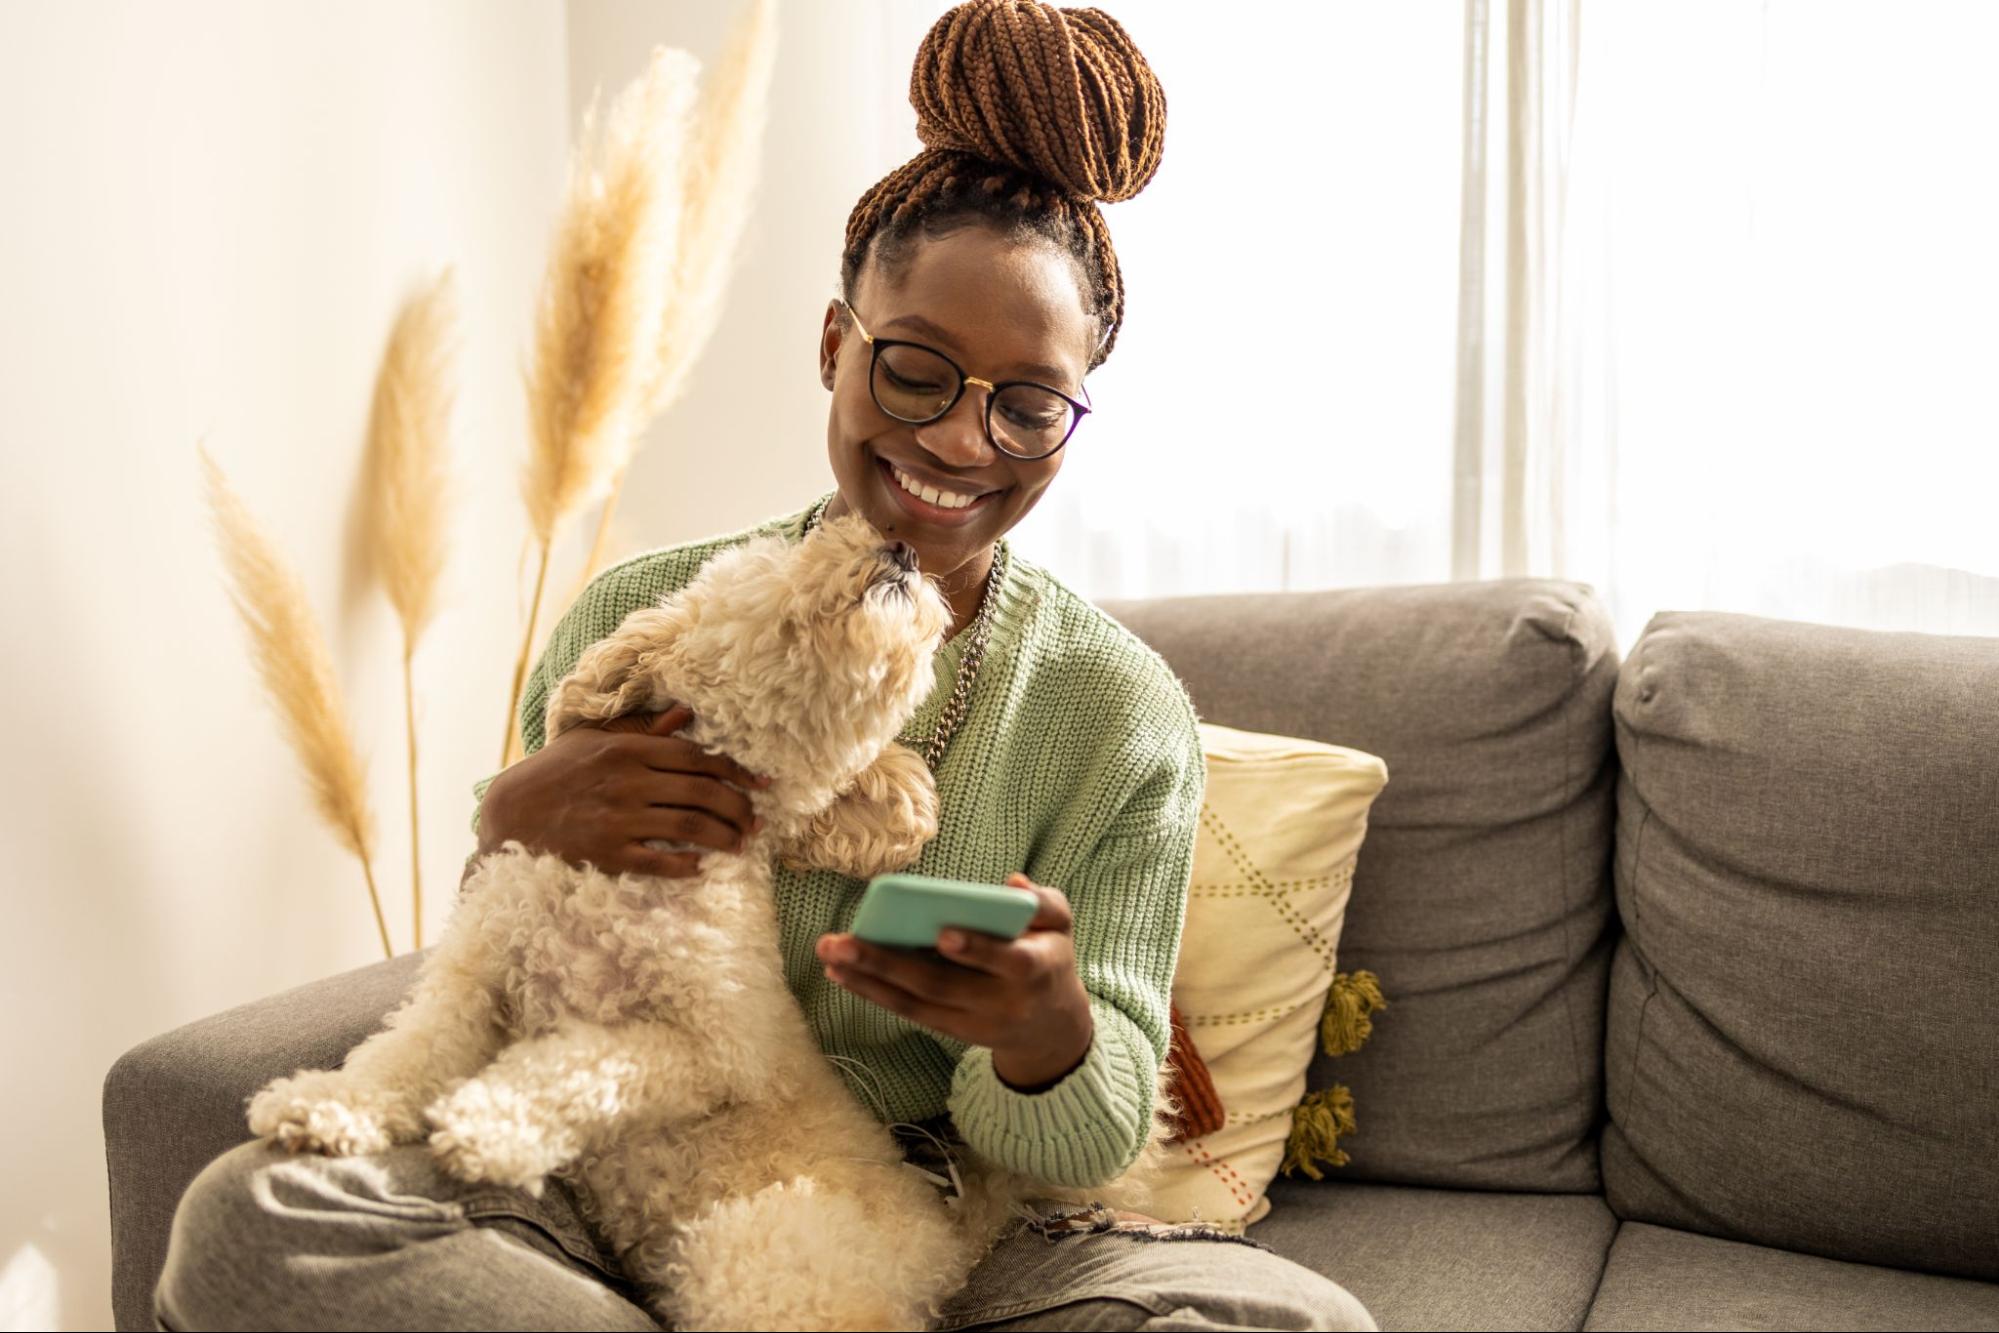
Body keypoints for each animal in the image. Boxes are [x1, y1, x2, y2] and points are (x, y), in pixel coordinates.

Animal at [251, 515, 999, 1327]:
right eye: (794, 549)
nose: (903, 549)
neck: (624, 888)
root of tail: (947, 1249)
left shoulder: (712, 1051)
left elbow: (586, 1065)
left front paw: (490, 1126)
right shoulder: (473, 977)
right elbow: (405, 1051)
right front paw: (325, 1105)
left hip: (756, 1254)